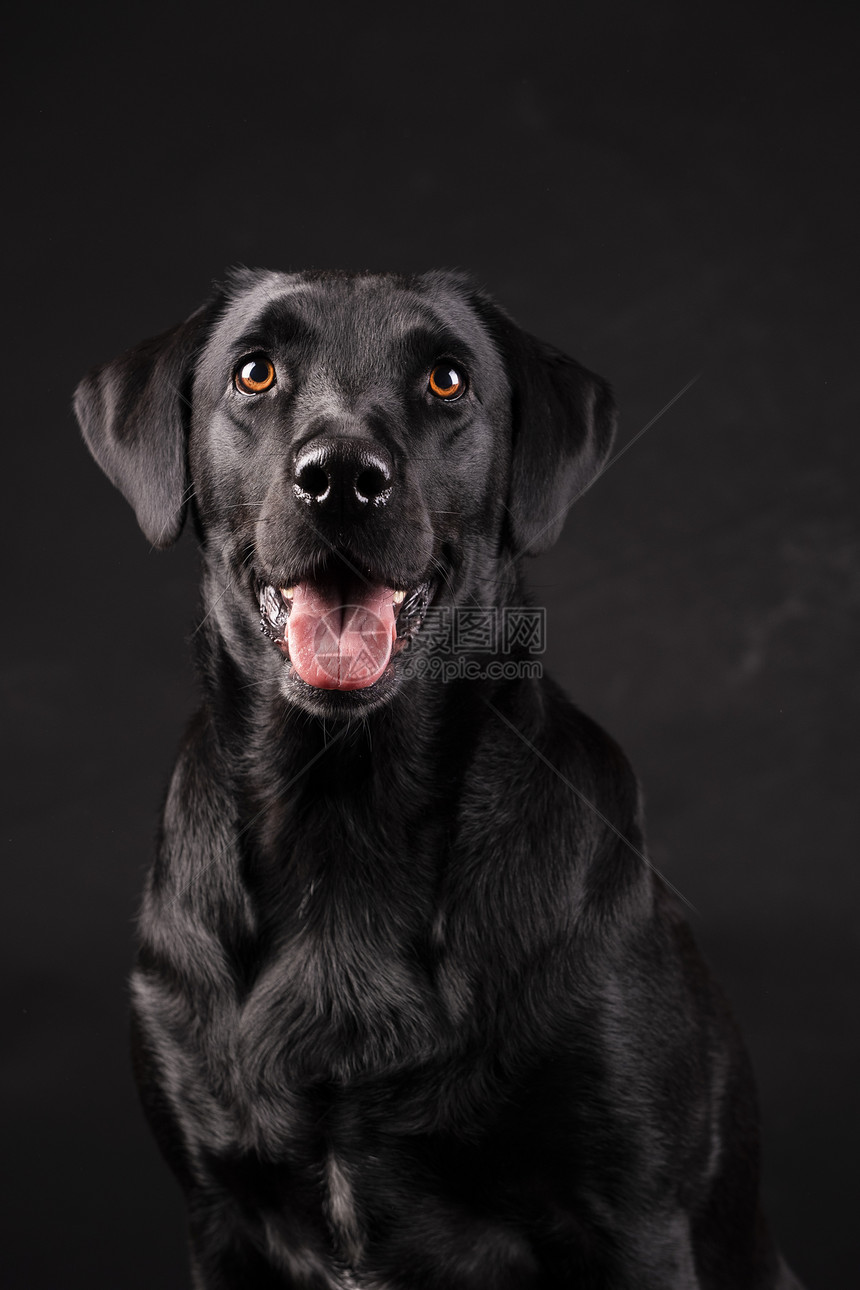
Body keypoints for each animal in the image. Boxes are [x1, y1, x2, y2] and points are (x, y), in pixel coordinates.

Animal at [72, 267, 799, 1284]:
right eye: (255, 371)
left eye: (447, 380)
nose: (341, 478)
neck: (346, 811)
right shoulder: (220, 1216)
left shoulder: (637, 1223)